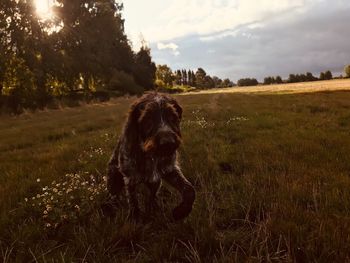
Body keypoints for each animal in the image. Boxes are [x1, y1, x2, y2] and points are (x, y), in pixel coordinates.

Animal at [106, 93, 196, 221]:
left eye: (173, 117)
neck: (151, 155)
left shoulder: (170, 170)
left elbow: (189, 190)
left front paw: (181, 211)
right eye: (148, 119)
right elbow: (133, 201)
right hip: (113, 180)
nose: (168, 143)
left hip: (155, 182)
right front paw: (134, 219)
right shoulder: (130, 178)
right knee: (113, 195)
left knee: (152, 196)